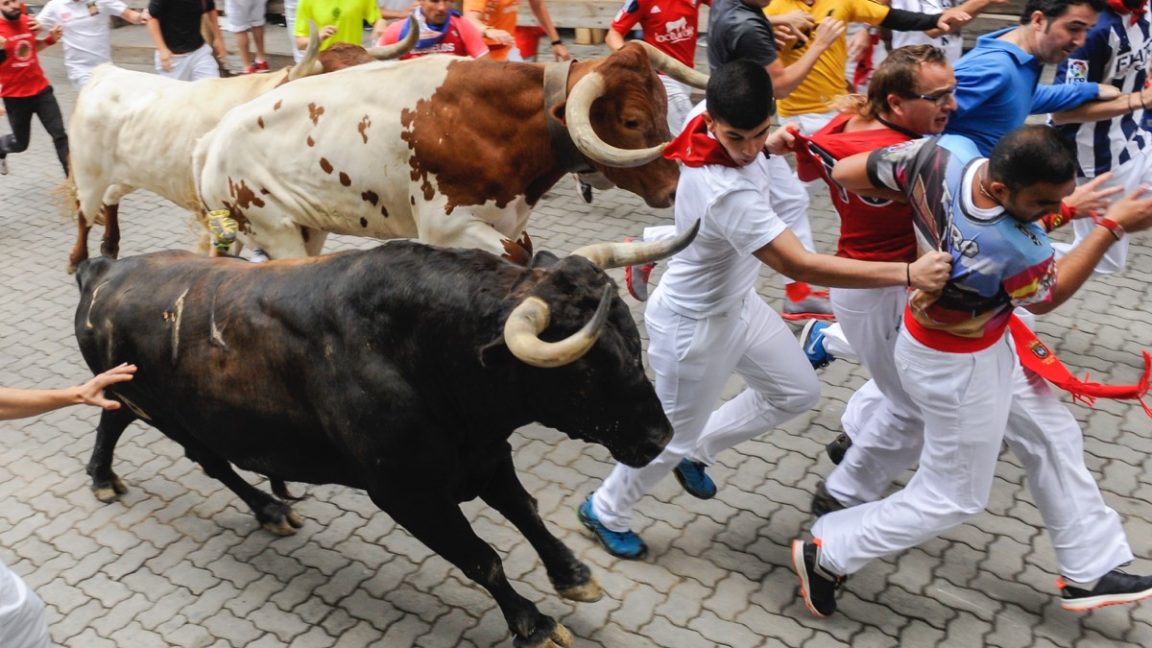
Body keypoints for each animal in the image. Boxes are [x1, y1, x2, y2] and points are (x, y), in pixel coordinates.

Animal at [193, 40, 705, 259]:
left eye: (665, 106)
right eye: (632, 120)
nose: (673, 187)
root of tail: (212, 138)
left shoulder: (509, 221)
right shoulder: (448, 228)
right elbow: (516, 259)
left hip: (306, 226)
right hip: (274, 228)